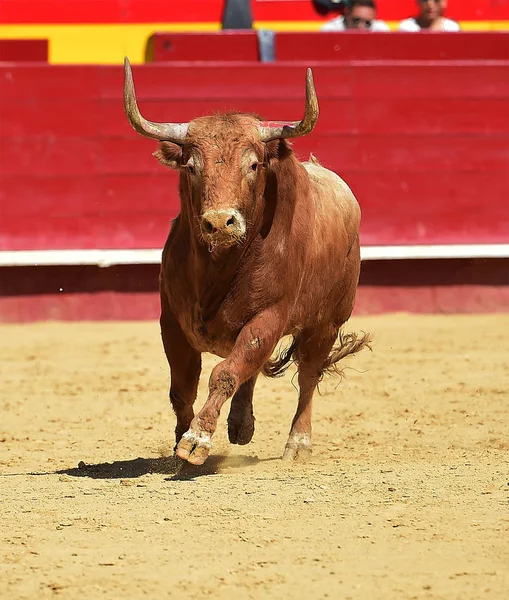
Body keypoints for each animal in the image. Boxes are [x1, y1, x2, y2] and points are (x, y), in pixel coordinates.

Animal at [122, 58, 370, 466]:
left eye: (254, 165)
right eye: (191, 167)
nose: (220, 222)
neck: (219, 268)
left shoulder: (270, 314)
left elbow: (225, 373)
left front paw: (197, 440)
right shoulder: (170, 320)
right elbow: (183, 386)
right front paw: (181, 442)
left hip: (327, 322)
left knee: (308, 375)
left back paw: (298, 444)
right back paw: (241, 424)